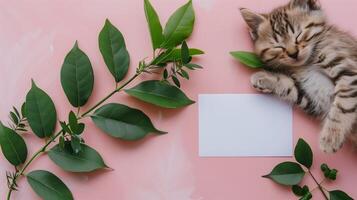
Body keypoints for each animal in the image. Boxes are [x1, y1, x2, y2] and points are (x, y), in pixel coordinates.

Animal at [238, 0, 357, 153]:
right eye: (278, 46)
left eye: (299, 35)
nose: (293, 53)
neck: (307, 64)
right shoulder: (317, 101)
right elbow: (291, 89)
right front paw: (265, 79)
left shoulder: (349, 70)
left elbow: (343, 104)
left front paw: (331, 137)